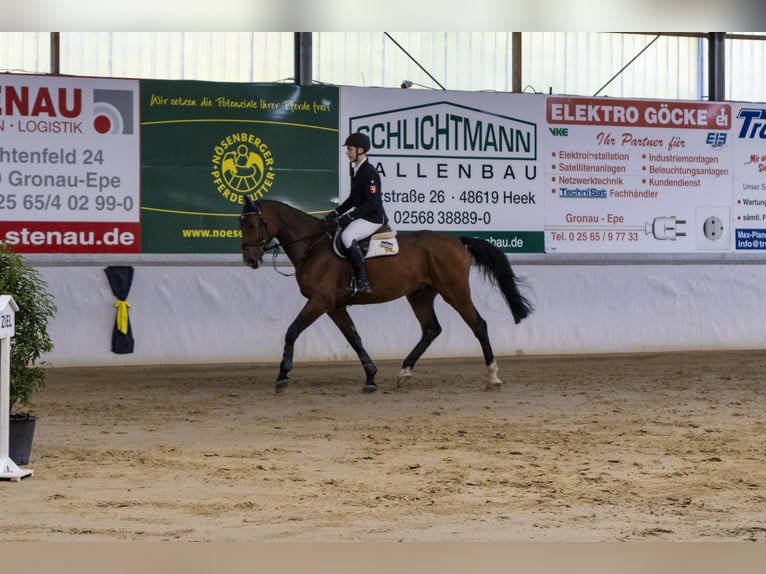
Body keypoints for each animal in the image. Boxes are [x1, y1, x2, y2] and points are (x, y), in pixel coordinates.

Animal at [242, 199, 536, 396]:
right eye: (240, 224)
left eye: (253, 224)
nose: (250, 260)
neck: (313, 246)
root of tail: (456, 240)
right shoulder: (335, 306)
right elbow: (354, 338)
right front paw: (371, 378)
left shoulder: (320, 302)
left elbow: (292, 331)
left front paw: (282, 376)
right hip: (419, 295)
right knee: (431, 329)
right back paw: (404, 372)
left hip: (455, 291)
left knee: (479, 325)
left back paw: (493, 377)